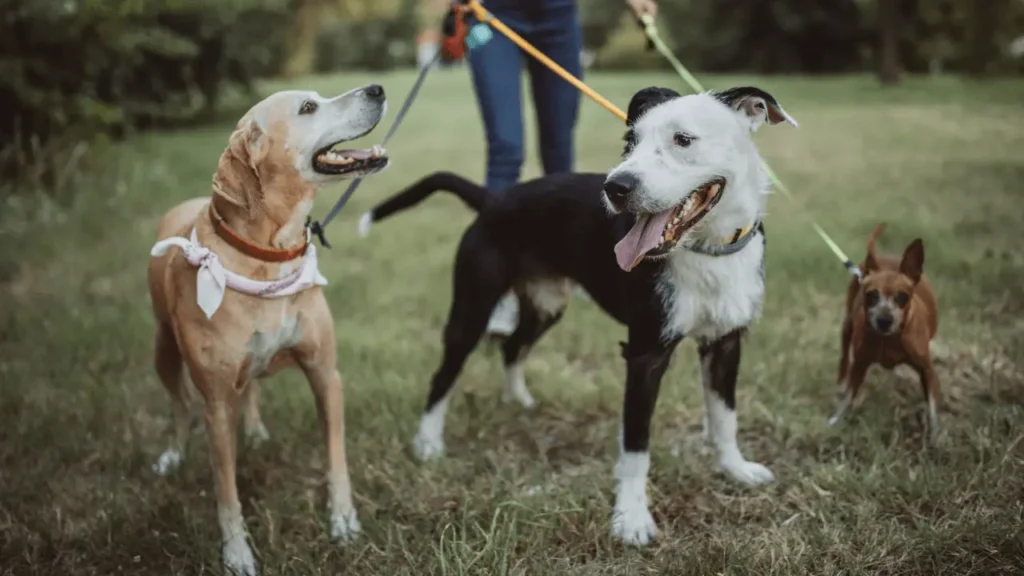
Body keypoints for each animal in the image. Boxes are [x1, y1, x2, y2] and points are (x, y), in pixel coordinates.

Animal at [149, 83, 391, 569]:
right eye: (308, 108)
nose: (377, 88)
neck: (269, 255)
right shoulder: (217, 404)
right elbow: (226, 491)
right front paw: (237, 553)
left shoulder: (324, 374)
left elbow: (336, 458)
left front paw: (343, 521)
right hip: (163, 350)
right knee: (180, 407)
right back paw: (174, 454)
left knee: (252, 387)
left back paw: (257, 430)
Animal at [360, 85, 798, 541]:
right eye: (630, 141)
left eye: (683, 139)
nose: (616, 187)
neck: (706, 250)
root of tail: (494, 199)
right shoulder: (645, 354)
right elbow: (636, 445)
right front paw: (631, 518)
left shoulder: (726, 343)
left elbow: (725, 417)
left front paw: (735, 470)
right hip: (472, 309)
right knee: (445, 376)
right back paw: (428, 442)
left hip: (546, 306)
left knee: (513, 347)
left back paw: (519, 400)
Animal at [827, 222, 937, 440]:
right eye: (871, 295)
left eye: (902, 297)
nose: (884, 320)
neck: (890, 340)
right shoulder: (859, 365)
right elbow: (849, 397)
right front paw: (837, 421)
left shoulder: (927, 370)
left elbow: (932, 406)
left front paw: (937, 436)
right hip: (847, 326)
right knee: (844, 356)